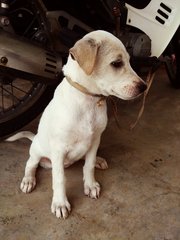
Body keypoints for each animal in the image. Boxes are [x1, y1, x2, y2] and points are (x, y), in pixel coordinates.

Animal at [7, 29, 148, 218]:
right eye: (117, 63)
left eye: (129, 61)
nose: (144, 87)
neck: (88, 100)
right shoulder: (59, 148)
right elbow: (59, 178)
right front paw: (60, 203)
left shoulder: (95, 140)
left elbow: (88, 165)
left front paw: (90, 185)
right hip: (37, 151)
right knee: (30, 164)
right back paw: (28, 180)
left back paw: (99, 160)